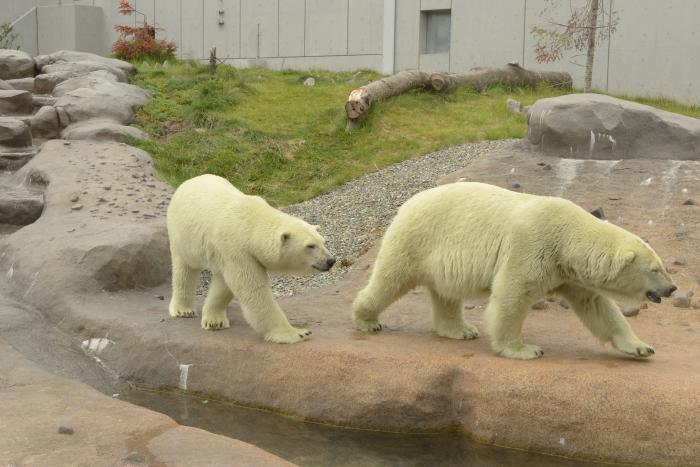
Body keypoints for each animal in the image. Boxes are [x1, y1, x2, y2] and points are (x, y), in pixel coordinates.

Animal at [167, 175, 336, 344]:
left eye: (323, 242)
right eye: (310, 246)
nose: (331, 260)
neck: (251, 223)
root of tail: (189, 181)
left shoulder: (231, 255)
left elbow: (224, 285)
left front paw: (215, 321)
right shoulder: (236, 249)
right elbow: (253, 290)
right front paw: (297, 333)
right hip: (182, 234)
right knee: (184, 269)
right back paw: (184, 310)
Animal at [356, 183, 680, 362]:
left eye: (663, 265)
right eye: (655, 269)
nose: (672, 288)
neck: (567, 238)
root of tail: (406, 204)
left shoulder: (569, 274)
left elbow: (598, 307)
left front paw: (641, 347)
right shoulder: (532, 245)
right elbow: (512, 295)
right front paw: (524, 350)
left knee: (446, 293)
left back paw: (461, 330)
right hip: (416, 238)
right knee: (390, 279)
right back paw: (367, 320)